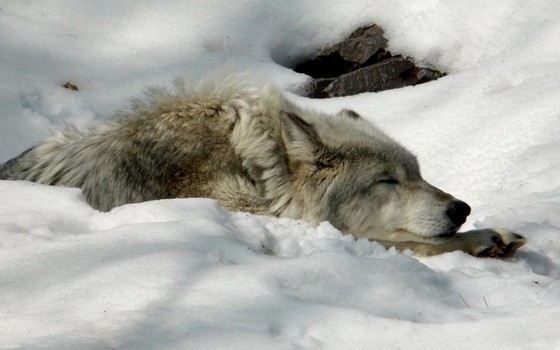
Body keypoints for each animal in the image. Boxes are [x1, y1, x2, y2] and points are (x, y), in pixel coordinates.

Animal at [0, 74, 524, 258]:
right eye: (387, 181)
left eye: (418, 175)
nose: (461, 208)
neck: (257, 168)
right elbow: (402, 241)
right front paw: (481, 239)